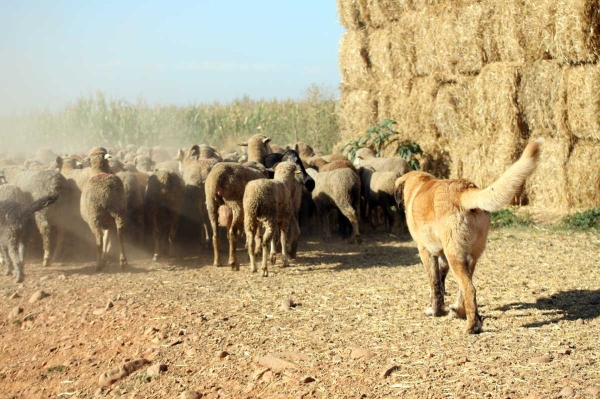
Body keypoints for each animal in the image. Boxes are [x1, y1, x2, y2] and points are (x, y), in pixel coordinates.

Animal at [396, 141, 540, 334]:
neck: (420, 184)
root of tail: (464, 190)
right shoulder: (443, 257)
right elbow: (441, 283)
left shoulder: (426, 251)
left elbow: (435, 285)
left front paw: (435, 311)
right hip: (469, 257)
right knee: (464, 288)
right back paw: (461, 312)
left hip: (455, 256)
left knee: (469, 289)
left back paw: (471, 326)